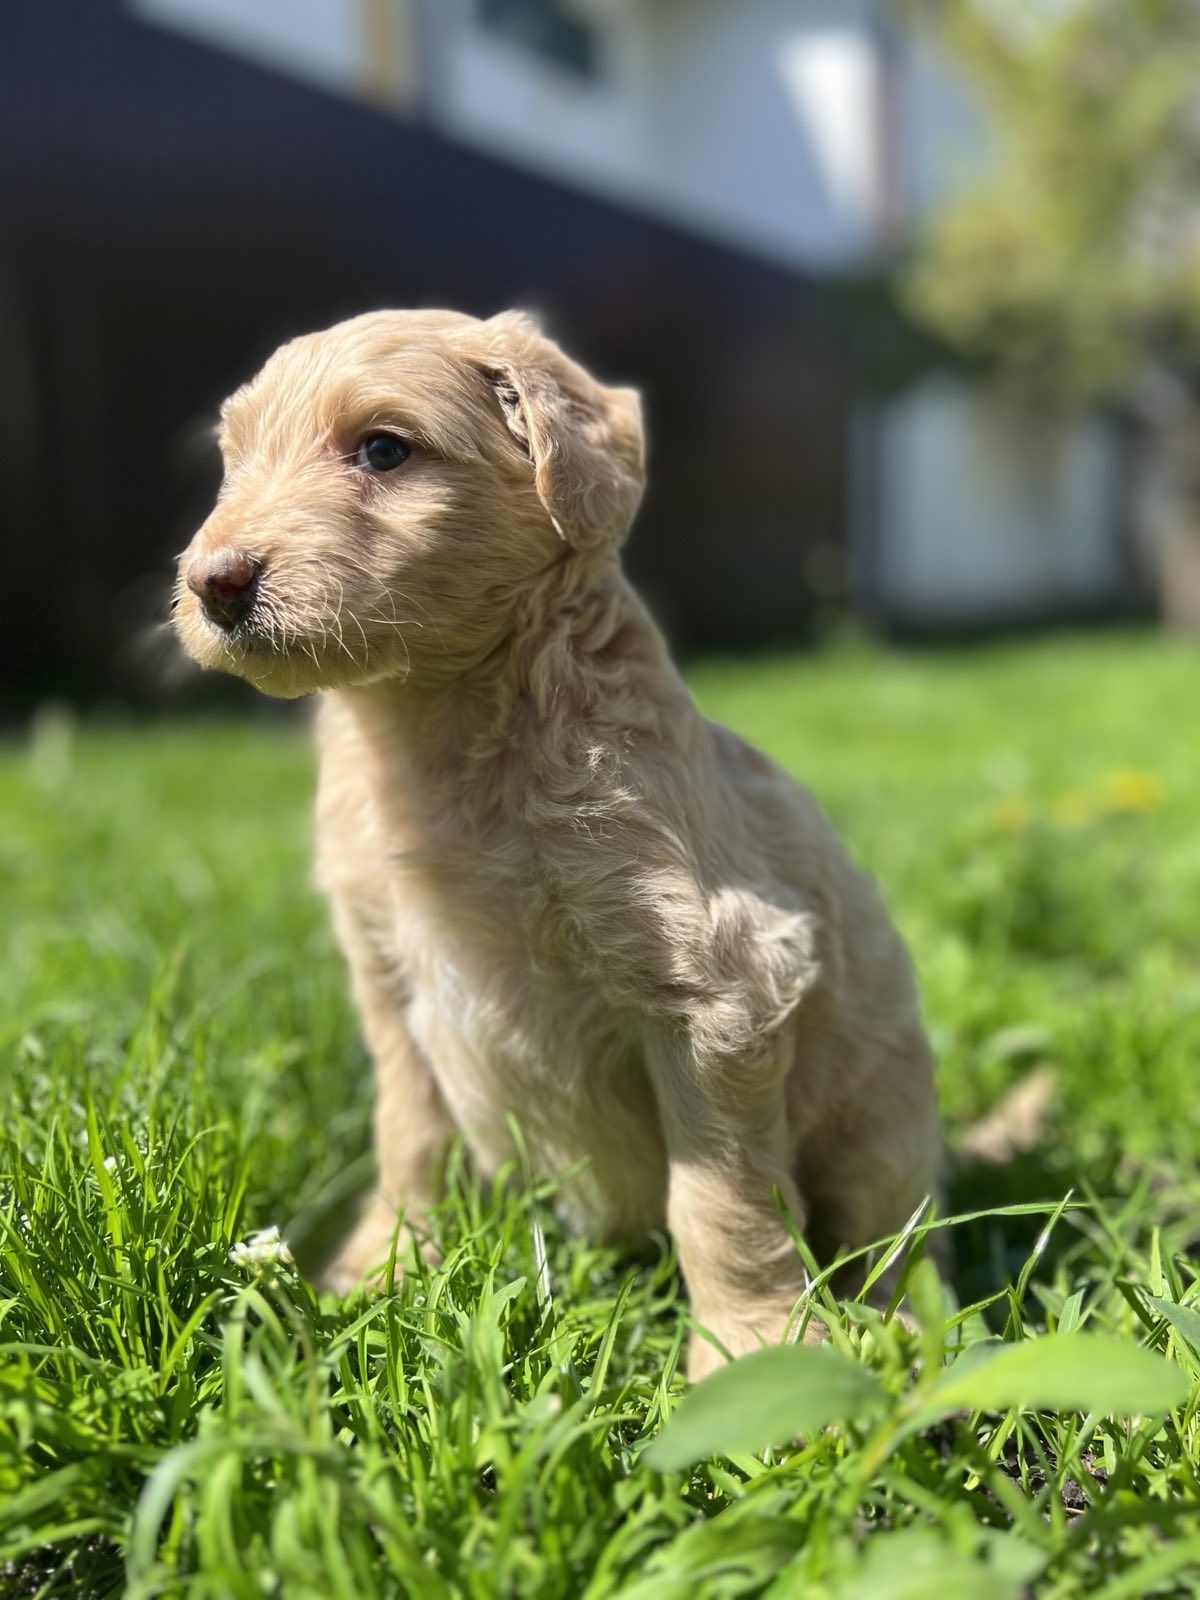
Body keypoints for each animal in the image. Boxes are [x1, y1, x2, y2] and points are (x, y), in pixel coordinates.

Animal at [173, 308, 940, 1376]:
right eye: (234, 460)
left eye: (383, 449)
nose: (214, 582)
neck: (440, 733)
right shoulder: (388, 980)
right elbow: (409, 1134)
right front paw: (381, 1272)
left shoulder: (721, 983)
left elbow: (723, 1194)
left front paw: (751, 1345)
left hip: (886, 1124)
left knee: (891, 1238)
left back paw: (897, 1325)